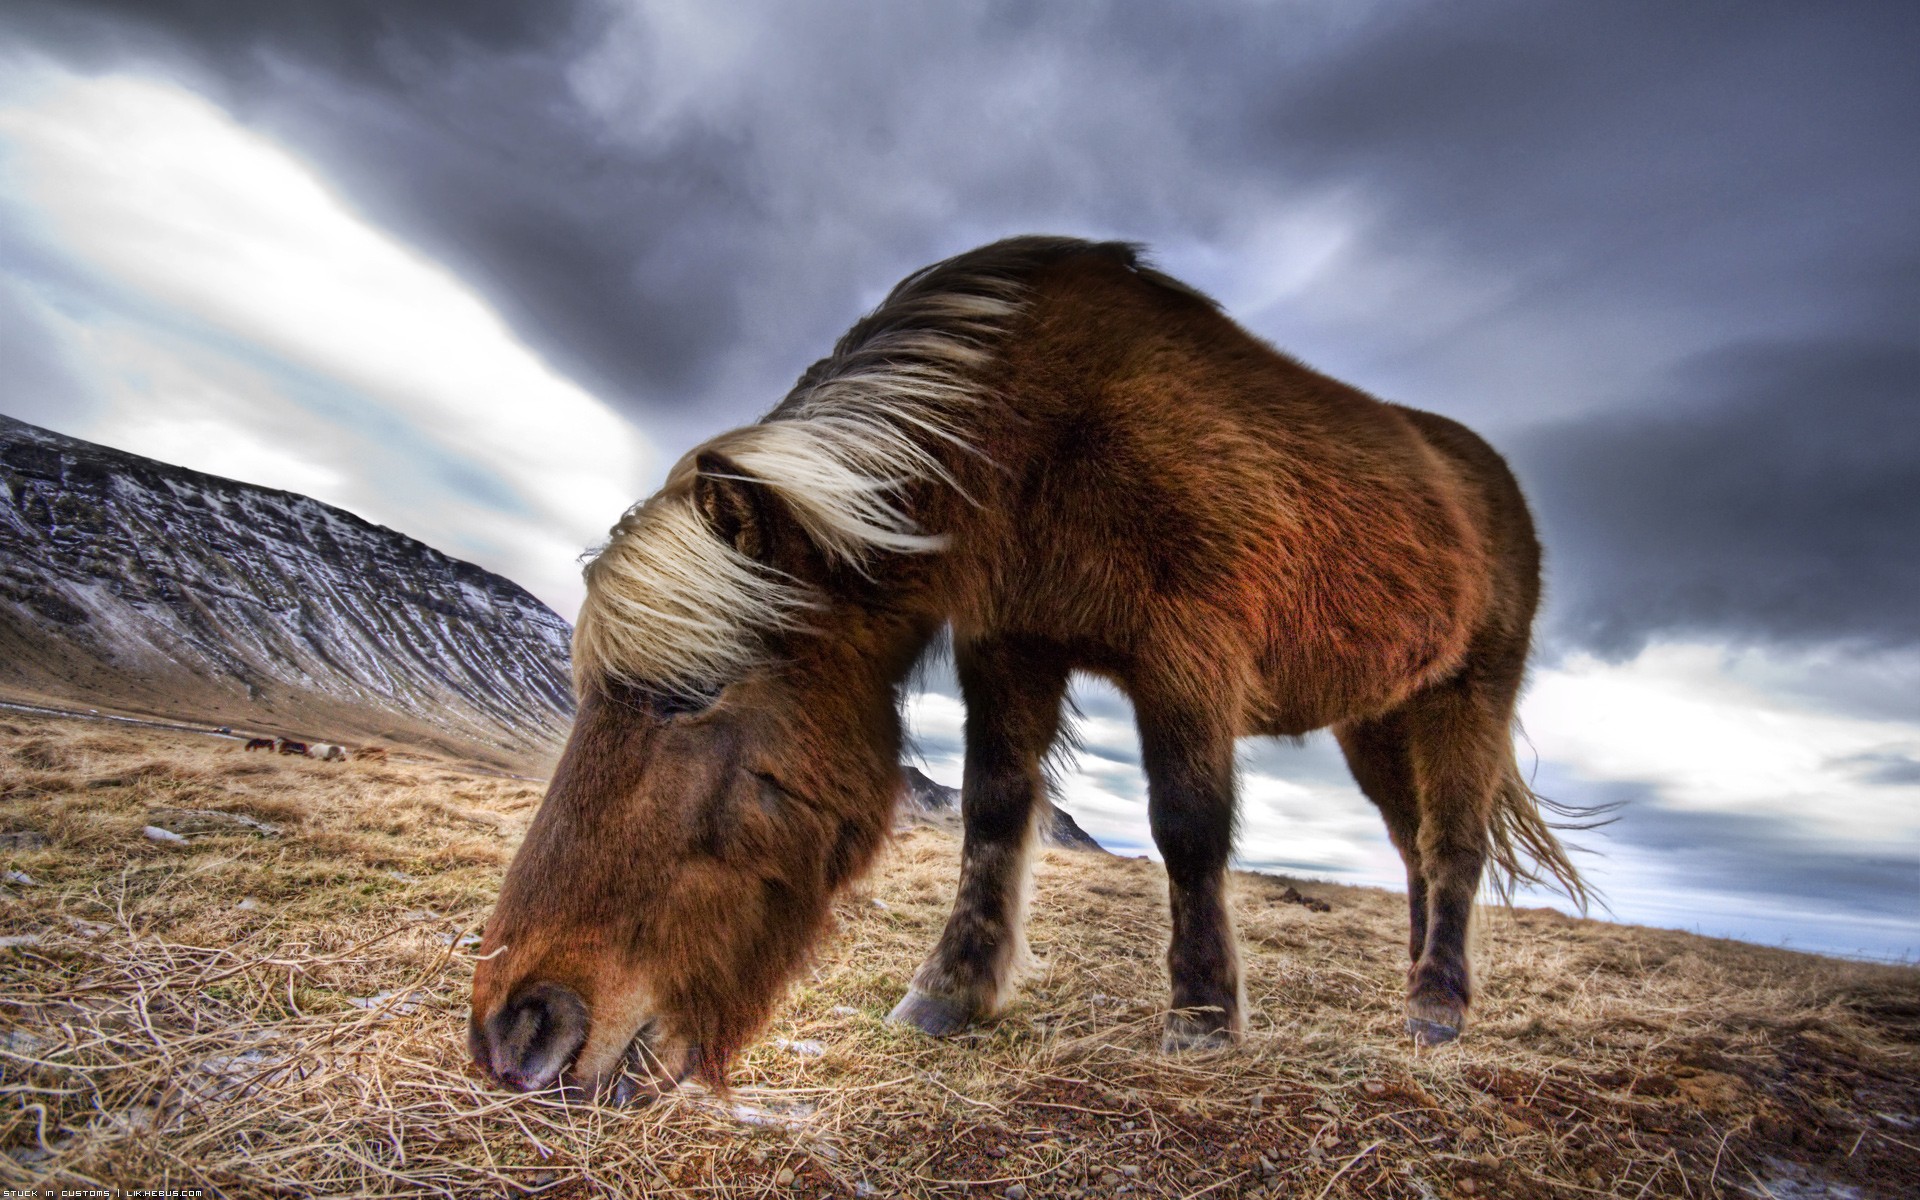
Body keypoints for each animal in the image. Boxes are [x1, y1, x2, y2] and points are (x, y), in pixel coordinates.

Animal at [472, 236, 1582, 1105]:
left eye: (692, 699)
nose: (515, 1031)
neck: (1044, 433)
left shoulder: (1187, 658)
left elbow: (1187, 827)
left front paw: (1203, 1017)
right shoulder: (1010, 646)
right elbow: (995, 811)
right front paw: (948, 994)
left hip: (1467, 701)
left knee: (1450, 845)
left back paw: (1437, 1008)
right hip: (1378, 720)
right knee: (1414, 847)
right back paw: (1420, 987)